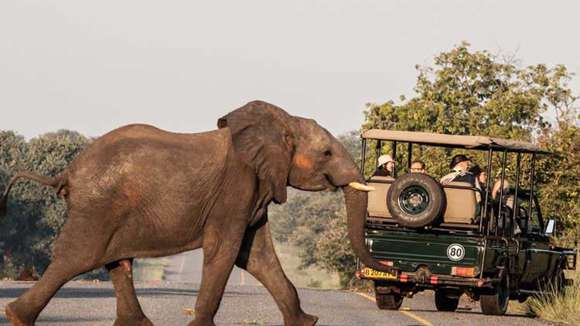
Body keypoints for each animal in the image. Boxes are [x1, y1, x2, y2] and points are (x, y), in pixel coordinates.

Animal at [0, 100, 392, 324]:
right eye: (326, 153)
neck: (280, 123)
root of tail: (67, 171)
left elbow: (257, 256)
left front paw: (307, 322)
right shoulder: (235, 190)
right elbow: (226, 250)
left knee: (116, 262)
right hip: (98, 207)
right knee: (78, 258)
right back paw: (16, 318)